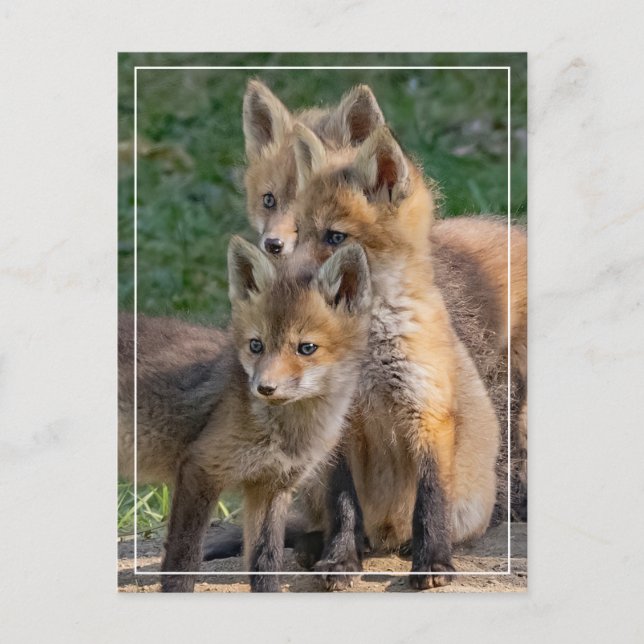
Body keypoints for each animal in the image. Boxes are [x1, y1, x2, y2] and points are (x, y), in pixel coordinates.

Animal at [118, 236, 373, 592]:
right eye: (256, 345)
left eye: (306, 348)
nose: (264, 388)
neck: (286, 432)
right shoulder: (201, 469)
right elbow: (183, 559)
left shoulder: (270, 486)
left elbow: (267, 561)